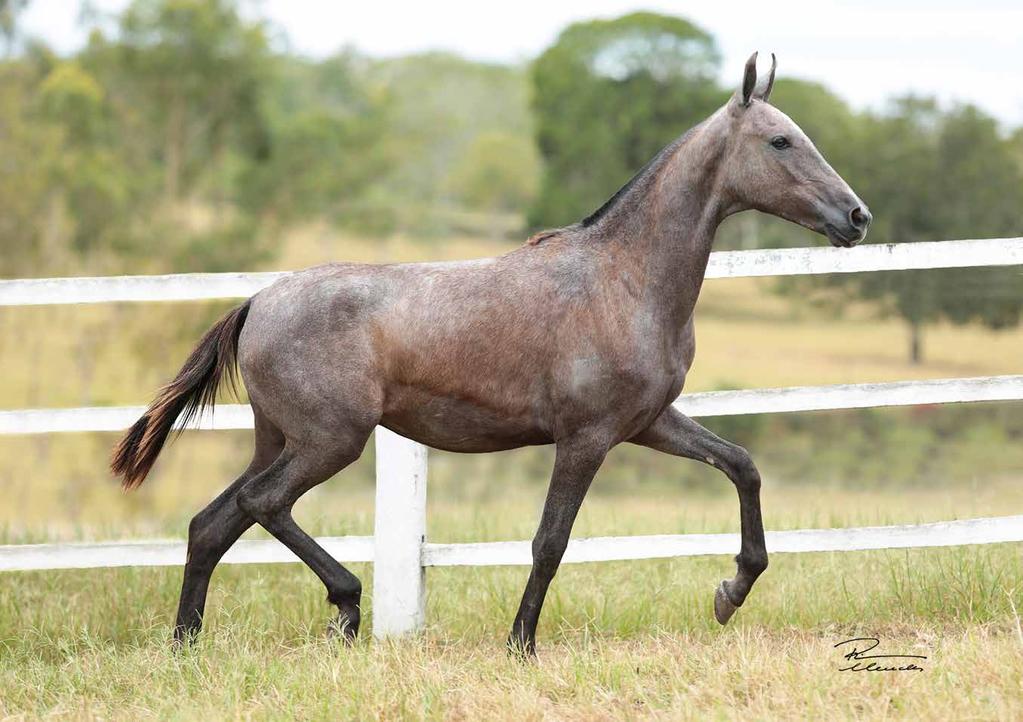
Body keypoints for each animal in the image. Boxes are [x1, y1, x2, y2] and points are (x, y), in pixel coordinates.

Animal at [114, 53, 871, 654]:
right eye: (780, 140)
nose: (856, 217)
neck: (623, 280)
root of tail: (257, 302)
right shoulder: (586, 436)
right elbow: (550, 540)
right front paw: (521, 642)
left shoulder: (647, 423)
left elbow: (742, 465)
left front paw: (729, 592)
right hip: (330, 440)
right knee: (261, 503)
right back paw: (345, 606)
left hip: (280, 438)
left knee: (212, 523)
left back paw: (187, 642)